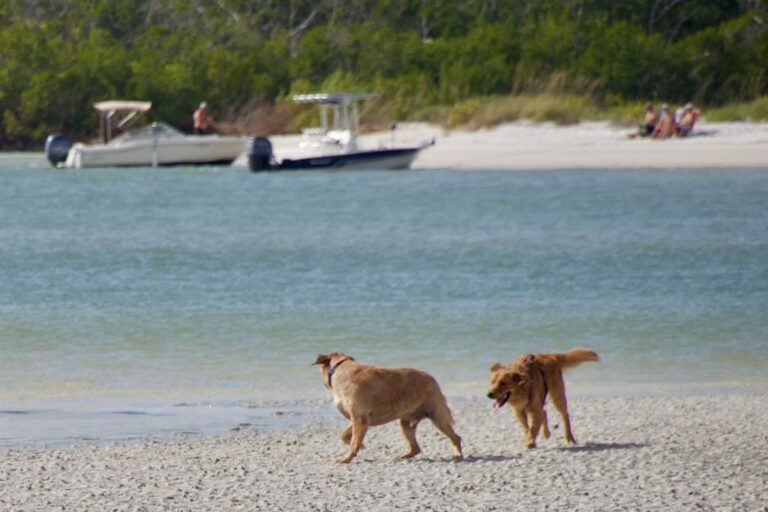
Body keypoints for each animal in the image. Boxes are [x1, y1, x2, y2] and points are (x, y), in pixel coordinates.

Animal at [310, 352, 462, 464]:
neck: (340, 369)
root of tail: (433, 379)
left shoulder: (360, 419)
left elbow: (353, 441)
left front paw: (347, 457)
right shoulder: (357, 418)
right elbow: (344, 435)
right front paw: (360, 446)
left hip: (437, 416)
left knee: (456, 437)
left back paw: (457, 453)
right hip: (405, 422)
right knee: (415, 448)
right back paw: (403, 456)